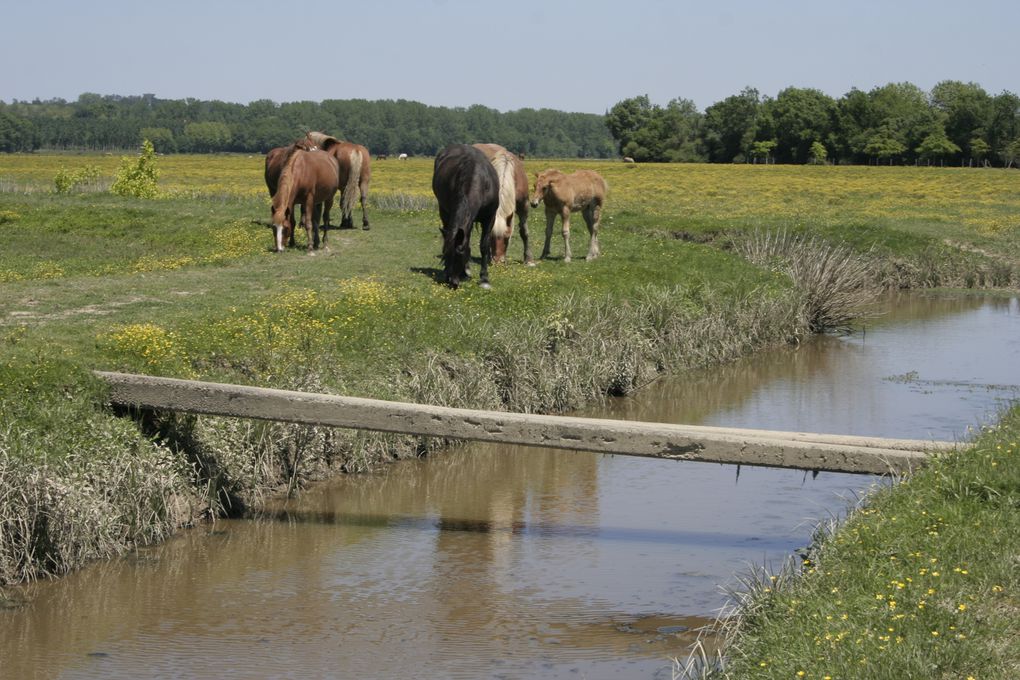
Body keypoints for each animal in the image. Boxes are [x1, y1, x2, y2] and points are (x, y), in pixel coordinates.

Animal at [428, 144, 499, 289]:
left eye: (458, 255)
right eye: (445, 256)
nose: (451, 281)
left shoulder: (490, 218)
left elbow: (484, 246)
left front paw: (484, 279)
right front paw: (465, 271)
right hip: (444, 211)